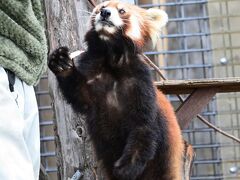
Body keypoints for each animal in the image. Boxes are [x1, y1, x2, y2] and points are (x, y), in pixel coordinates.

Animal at [48, 0, 184, 179]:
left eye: (122, 11)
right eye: (101, 6)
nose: (105, 13)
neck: (112, 59)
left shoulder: (140, 83)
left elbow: (143, 126)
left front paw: (126, 168)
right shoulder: (92, 77)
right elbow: (79, 95)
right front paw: (61, 63)